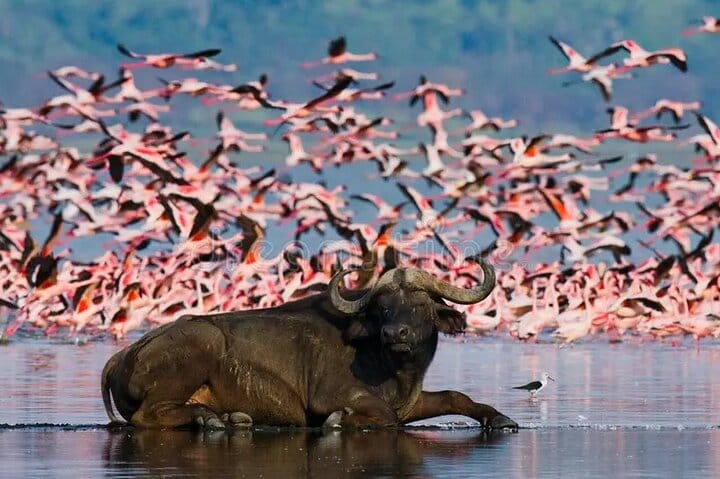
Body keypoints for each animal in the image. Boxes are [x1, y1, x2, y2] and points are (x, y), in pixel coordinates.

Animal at [102, 260, 517, 431]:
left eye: (420, 305)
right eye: (383, 307)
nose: (394, 334)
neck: (392, 367)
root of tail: (122, 355)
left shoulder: (412, 401)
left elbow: (455, 396)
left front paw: (500, 418)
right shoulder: (330, 396)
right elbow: (383, 415)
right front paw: (341, 421)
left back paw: (229, 419)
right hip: (200, 345)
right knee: (146, 417)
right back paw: (211, 421)